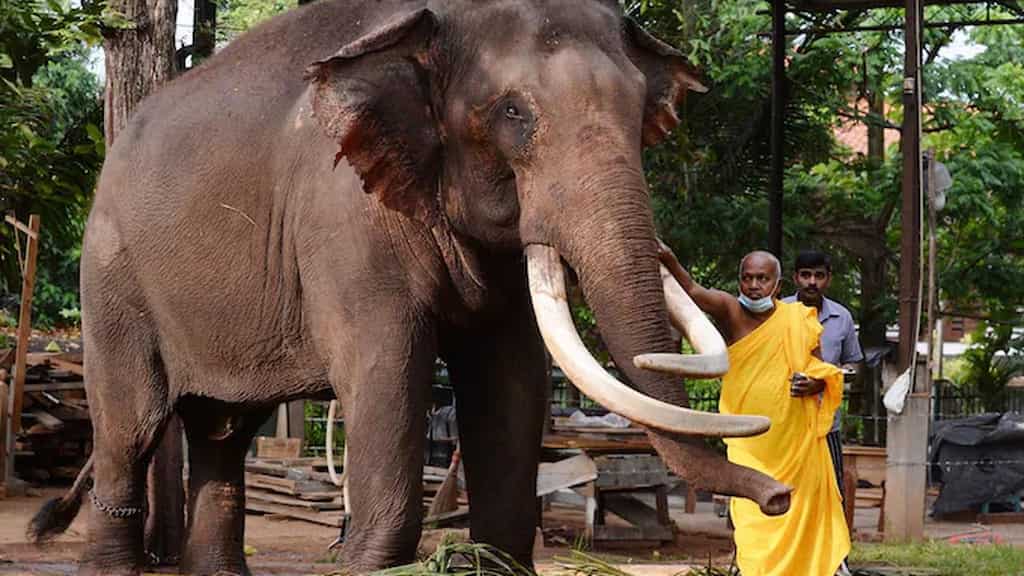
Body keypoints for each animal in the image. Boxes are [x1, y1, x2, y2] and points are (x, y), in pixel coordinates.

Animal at [28, 1, 792, 574]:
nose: (780, 496)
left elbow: (512, 374)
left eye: (641, 116)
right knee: (131, 426)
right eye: (514, 114)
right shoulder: (343, 218)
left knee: (222, 433)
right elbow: (386, 365)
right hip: (112, 279)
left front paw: (490, 560)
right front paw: (370, 562)